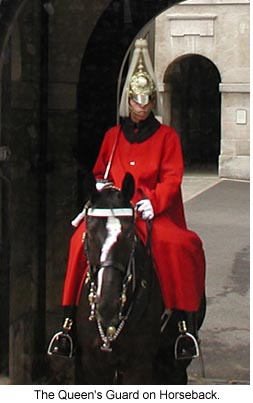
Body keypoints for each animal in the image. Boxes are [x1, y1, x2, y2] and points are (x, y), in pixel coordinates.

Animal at [74, 173, 205, 386]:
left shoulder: (139, 365)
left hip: (173, 362)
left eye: (129, 234)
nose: (107, 305)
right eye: (90, 233)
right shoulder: (94, 363)